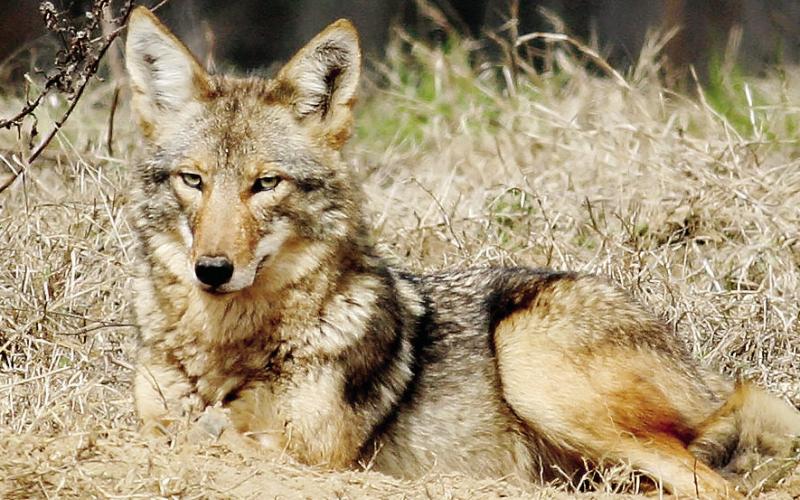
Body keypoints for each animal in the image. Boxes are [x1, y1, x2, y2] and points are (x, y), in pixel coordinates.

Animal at [124, 6, 800, 498]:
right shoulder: (155, 413)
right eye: (193, 180)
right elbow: (170, 429)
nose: (212, 270)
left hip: (531, 360)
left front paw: (212, 426)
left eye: (265, 184)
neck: (227, 348)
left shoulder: (319, 455)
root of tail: (704, 373)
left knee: (719, 487)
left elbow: (218, 437)